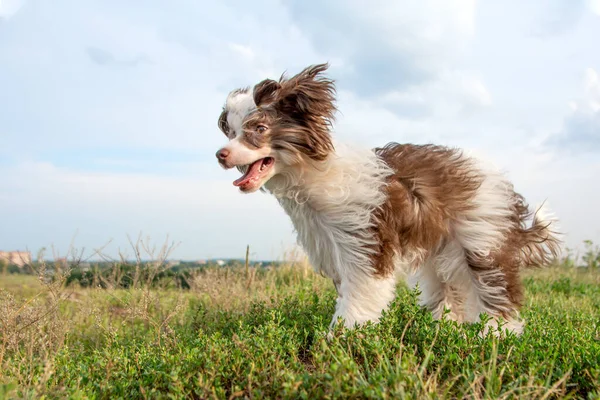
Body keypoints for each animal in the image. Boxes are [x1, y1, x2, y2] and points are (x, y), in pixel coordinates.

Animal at [217, 64, 564, 334]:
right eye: (230, 132)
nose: (221, 154)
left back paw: (496, 334)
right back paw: (447, 329)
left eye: (259, 128)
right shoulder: (330, 243)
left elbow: (362, 291)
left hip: (482, 238)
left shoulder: (366, 239)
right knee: (450, 289)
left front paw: (344, 335)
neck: (317, 174)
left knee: (497, 287)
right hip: (444, 250)